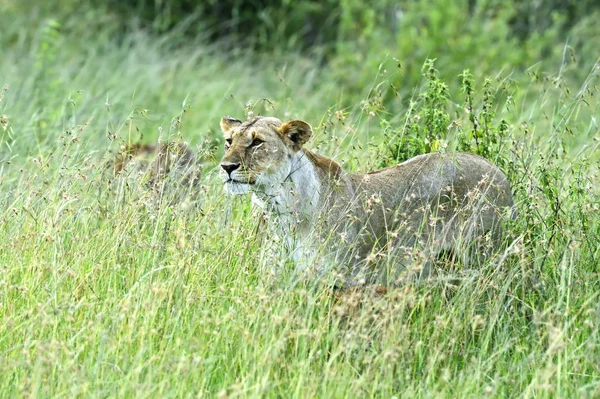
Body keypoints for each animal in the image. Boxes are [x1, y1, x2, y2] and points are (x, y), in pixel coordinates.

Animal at [218, 115, 512, 288]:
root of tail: (497, 171)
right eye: (229, 141)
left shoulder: (343, 280)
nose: (226, 167)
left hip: (483, 255)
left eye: (257, 142)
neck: (280, 210)